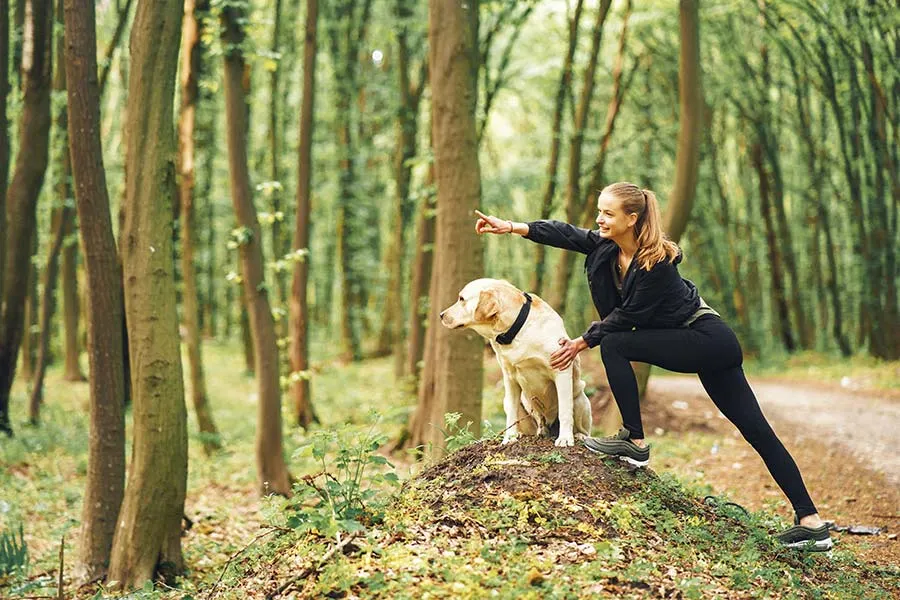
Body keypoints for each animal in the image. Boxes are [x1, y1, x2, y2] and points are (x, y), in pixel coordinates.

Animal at [440, 278, 596, 446]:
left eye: (461, 299)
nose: (441, 315)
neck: (516, 329)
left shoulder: (561, 369)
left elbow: (565, 410)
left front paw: (565, 438)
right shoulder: (510, 378)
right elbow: (511, 413)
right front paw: (509, 438)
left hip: (580, 400)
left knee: (582, 426)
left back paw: (579, 436)